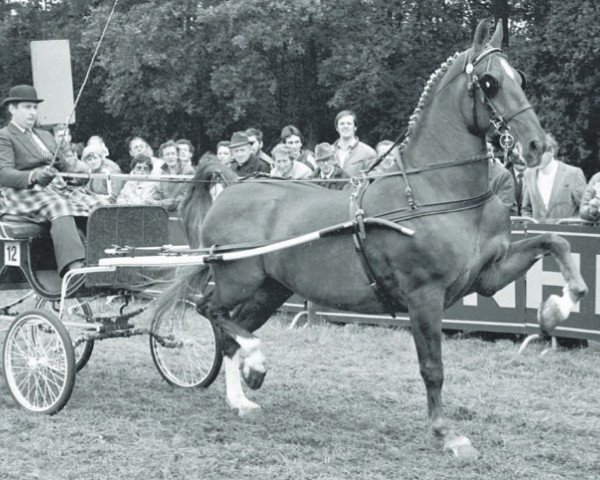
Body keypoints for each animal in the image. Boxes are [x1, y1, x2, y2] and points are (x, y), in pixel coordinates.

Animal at [157, 21, 588, 458]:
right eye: (490, 82)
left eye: (520, 78)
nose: (537, 146)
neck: (437, 192)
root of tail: (233, 186)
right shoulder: (424, 295)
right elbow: (432, 367)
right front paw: (446, 433)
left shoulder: (487, 276)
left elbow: (556, 241)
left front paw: (557, 309)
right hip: (237, 279)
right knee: (210, 310)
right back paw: (254, 363)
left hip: (271, 288)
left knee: (232, 331)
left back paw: (242, 395)